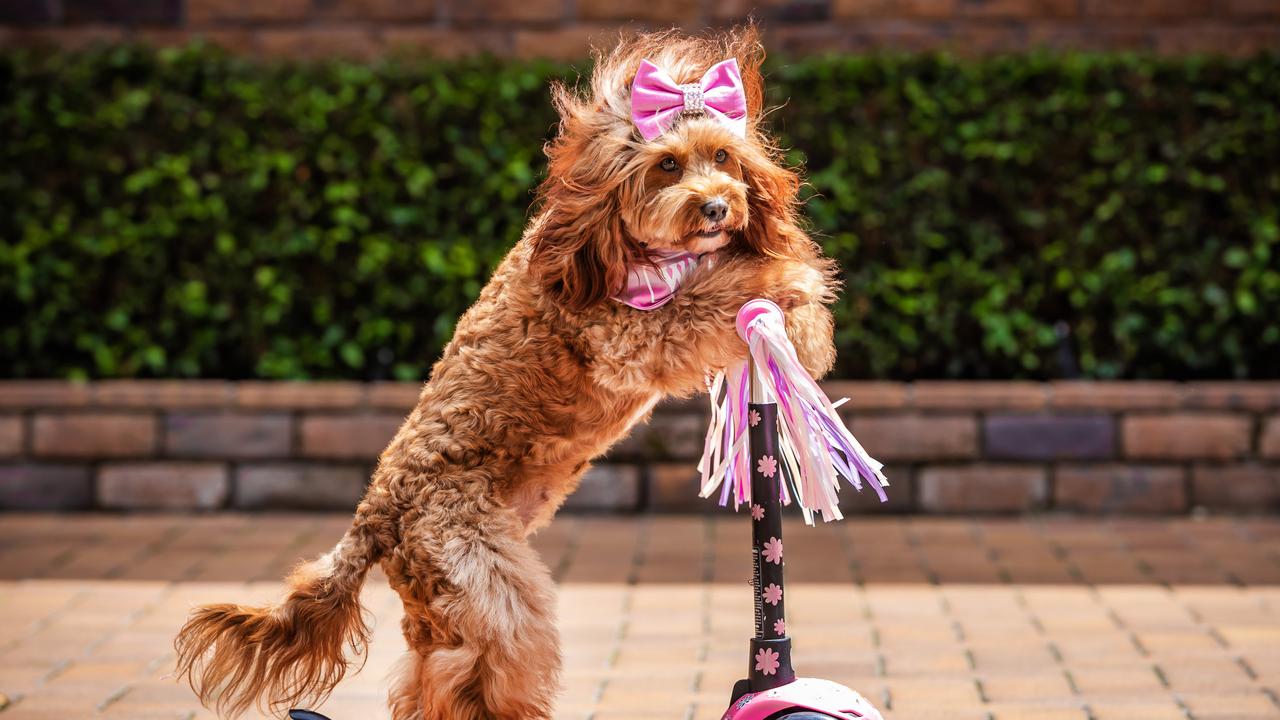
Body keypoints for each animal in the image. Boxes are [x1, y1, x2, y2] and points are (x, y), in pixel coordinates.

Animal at [177, 23, 839, 717]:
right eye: (666, 165)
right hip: (485, 580)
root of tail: (373, 517)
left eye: (725, 158)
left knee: (425, 677)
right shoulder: (630, 333)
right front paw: (790, 286)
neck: (621, 242)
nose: (716, 207)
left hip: (444, 600)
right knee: (477, 673)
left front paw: (800, 324)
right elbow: (712, 296)